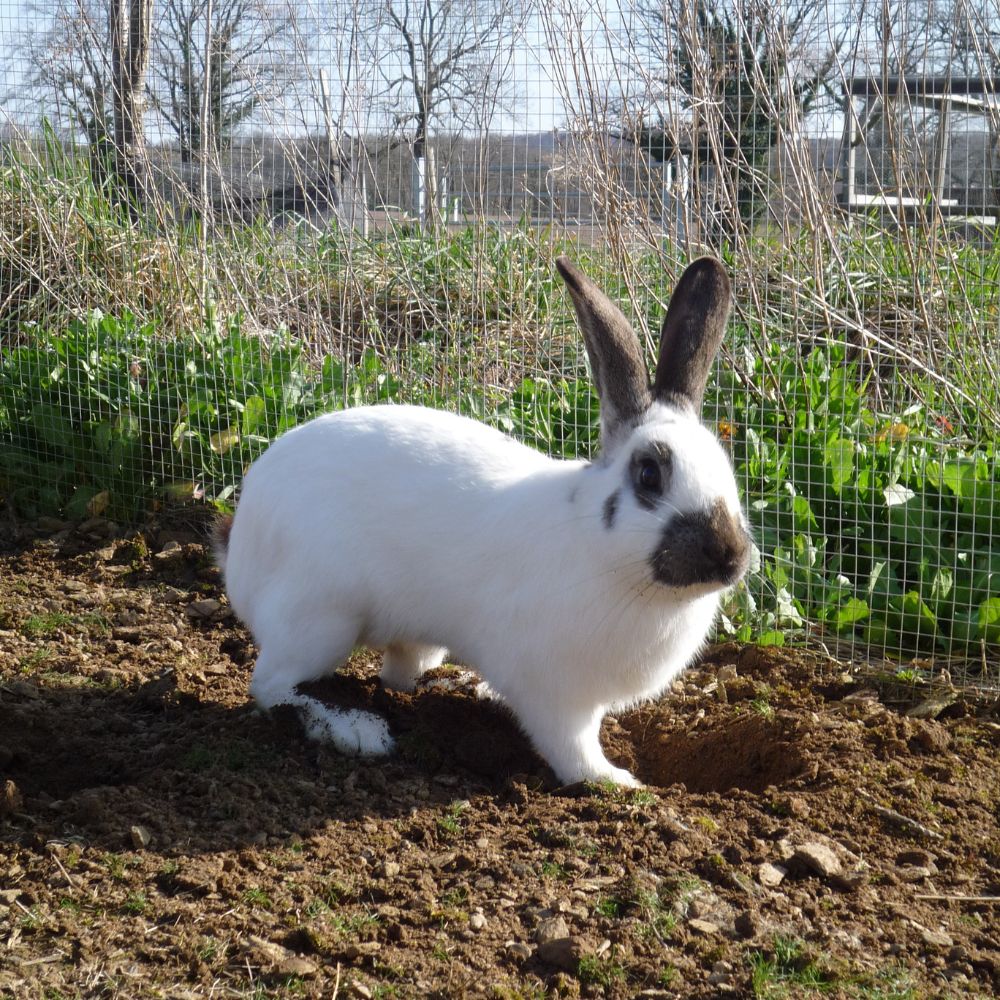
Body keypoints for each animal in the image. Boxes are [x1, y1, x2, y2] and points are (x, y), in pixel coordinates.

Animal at [215, 255, 751, 787]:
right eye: (649, 475)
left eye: (726, 468)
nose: (730, 555)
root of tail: (242, 544)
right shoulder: (556, 695)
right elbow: (573, 749)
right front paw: (614, 781)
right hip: (319, 621)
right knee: (273, 687)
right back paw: (358, 730)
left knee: (397, 672)